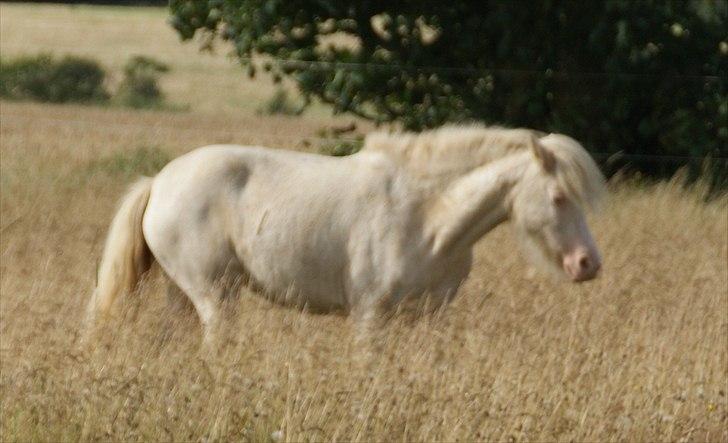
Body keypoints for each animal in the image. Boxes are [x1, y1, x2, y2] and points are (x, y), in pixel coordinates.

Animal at [85, 125, 604, 344]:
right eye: (559, 196)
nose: (588, 264)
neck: (429, 215)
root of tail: (159, 181)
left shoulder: (428, 317)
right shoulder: (370, 316)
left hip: (181, 294)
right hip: (216, 295)